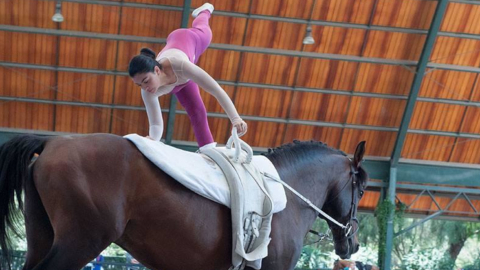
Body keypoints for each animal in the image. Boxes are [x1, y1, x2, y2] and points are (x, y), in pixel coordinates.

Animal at [0, 134, 370, 270]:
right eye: (364, 190)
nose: (352, 243)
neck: (288, 193)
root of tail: (52, 143)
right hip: (81, 242)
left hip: (42, 238)